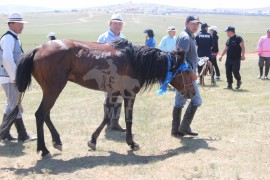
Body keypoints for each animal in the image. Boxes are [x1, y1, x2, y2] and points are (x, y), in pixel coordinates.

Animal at [0, 38, 195, 158]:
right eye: (186, 71)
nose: (192, 93)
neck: (135, 59)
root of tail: (37, 49)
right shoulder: (129, 94)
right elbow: (129, 119)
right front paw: (132, 143)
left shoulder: (114, 93)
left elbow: (107, 116)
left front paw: (92, 140)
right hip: (53, 89)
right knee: (41, 114)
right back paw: (44, 149)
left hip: (51, 91)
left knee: (45, 114)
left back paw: (57, 141)